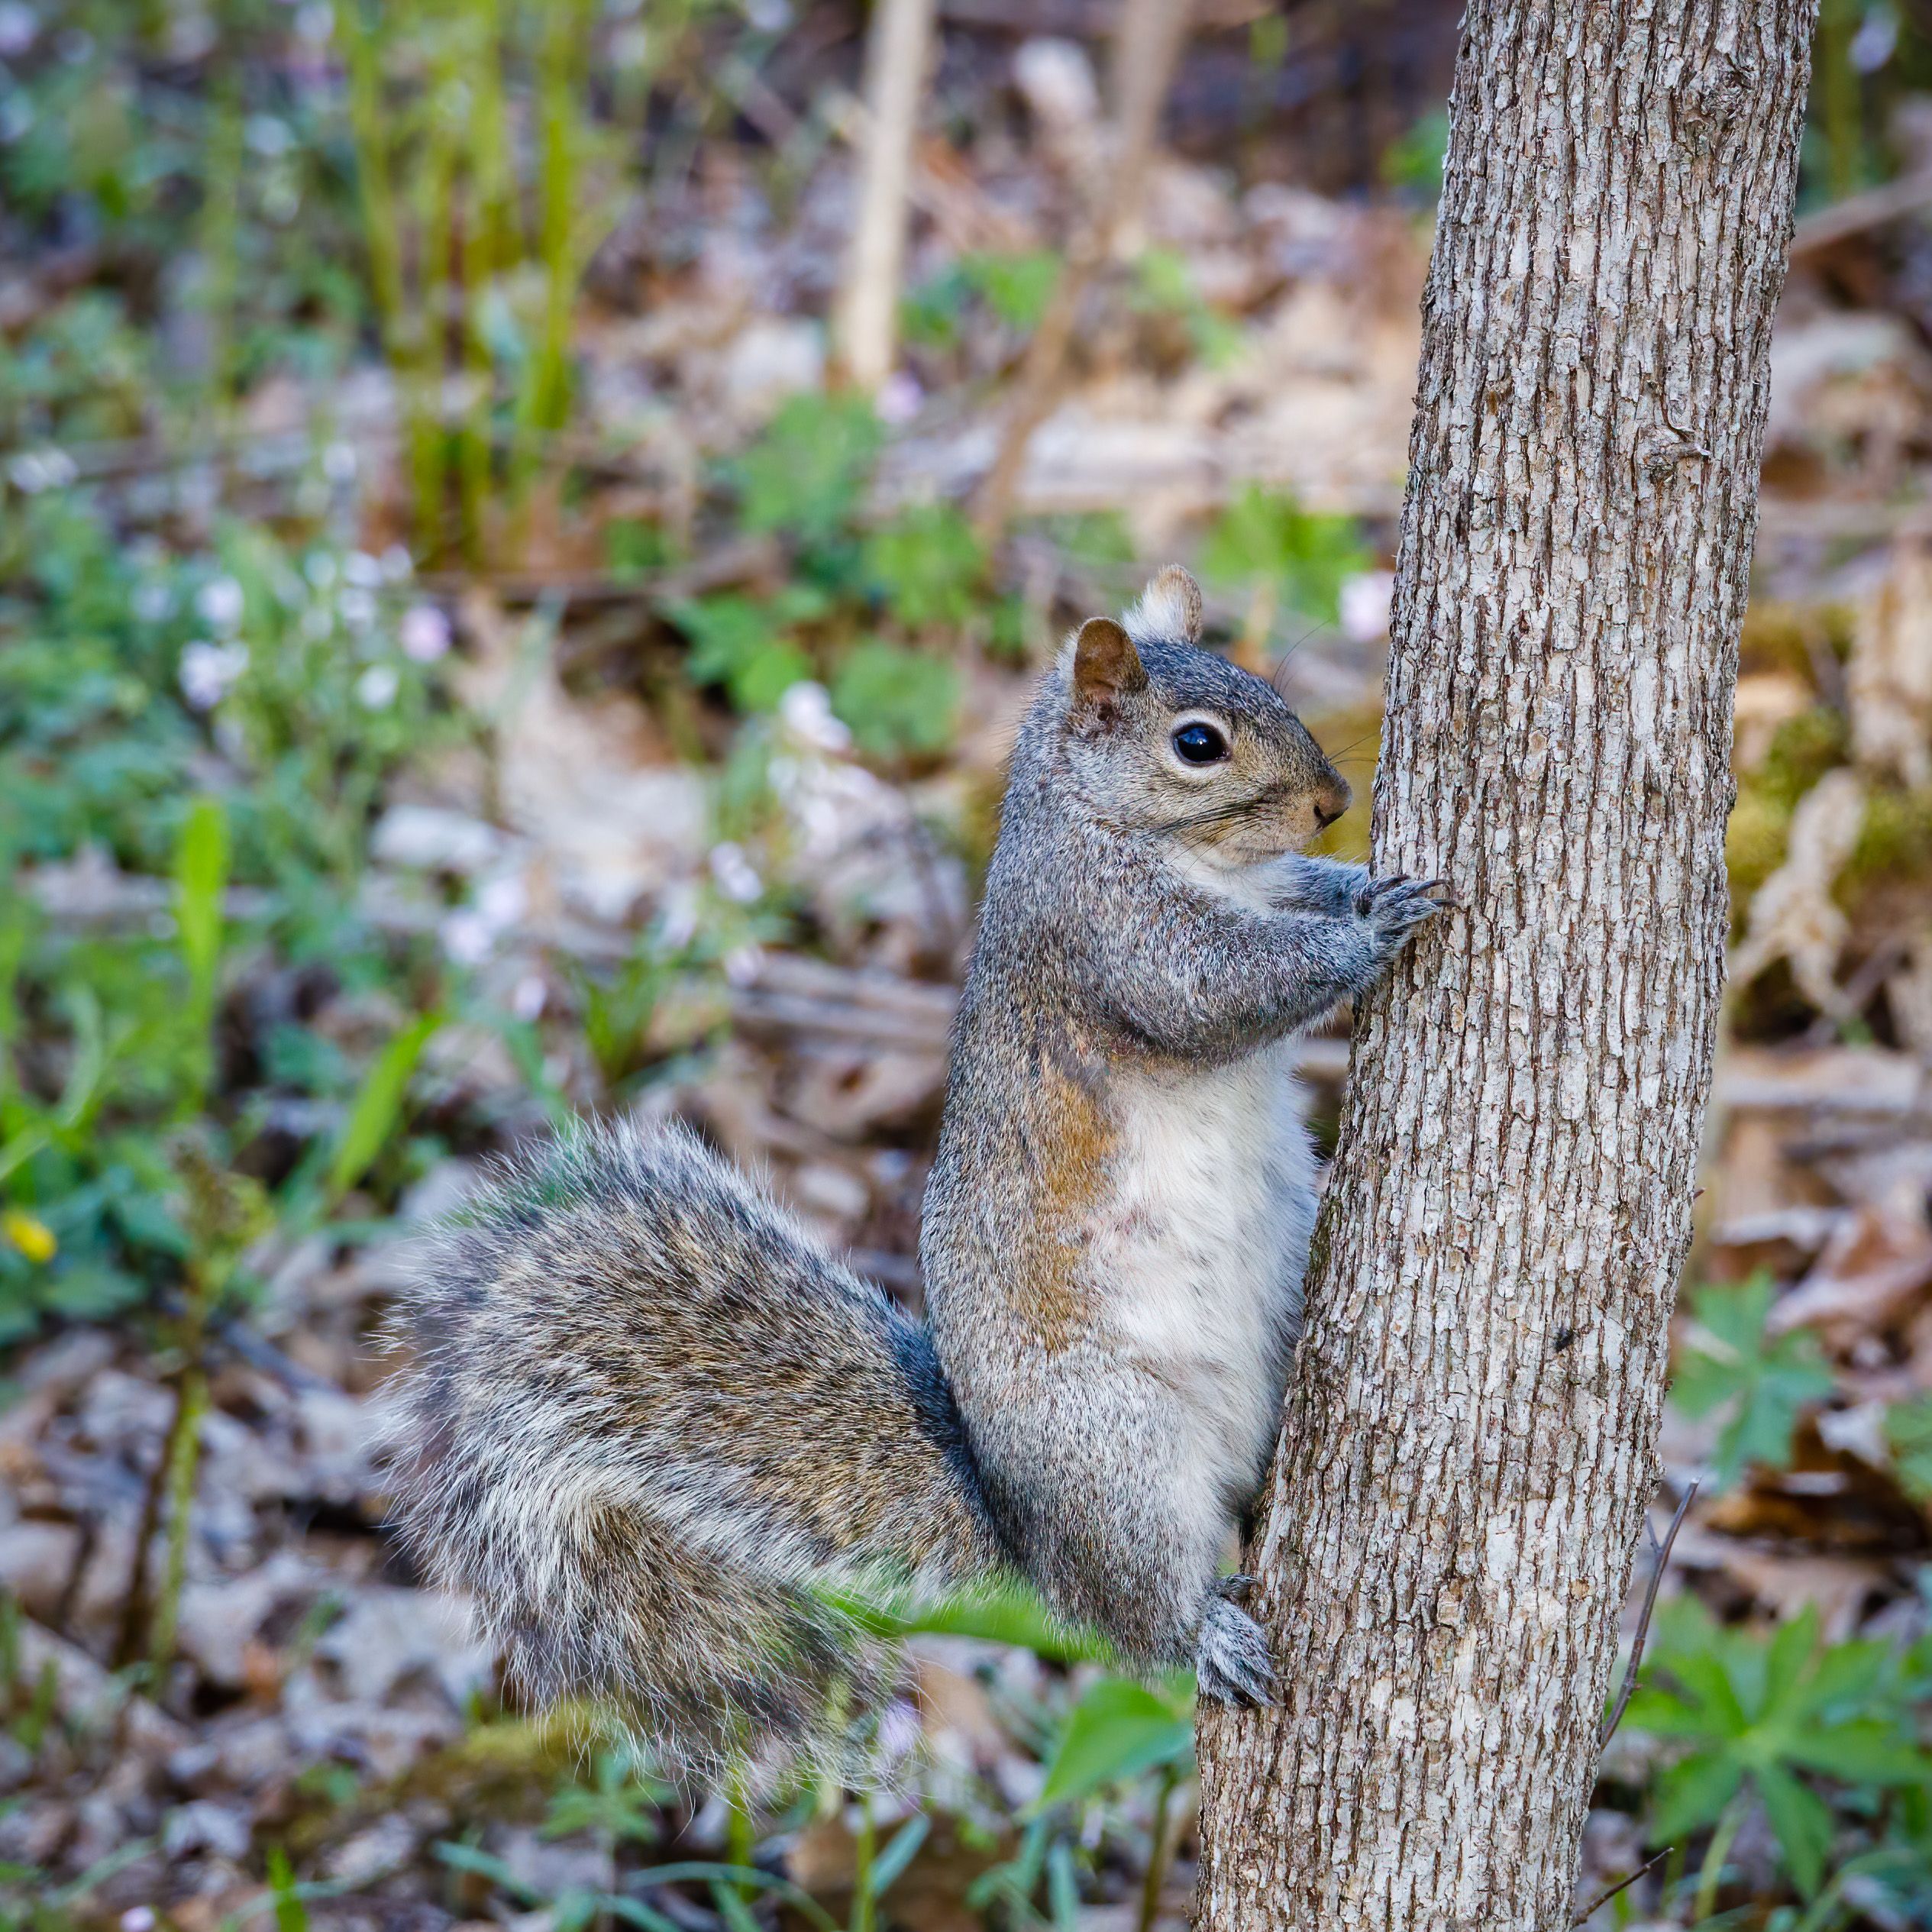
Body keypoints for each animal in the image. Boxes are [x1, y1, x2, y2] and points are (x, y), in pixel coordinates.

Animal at [385, 565, 1448, 1776]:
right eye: (1196, 744)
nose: (1330, 800)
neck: (1124, 832)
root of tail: (1024, 1534)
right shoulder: (1103, 935)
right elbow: (1218, 990)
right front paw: (1374, 927)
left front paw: (1356, 883)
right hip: (1113, 1453)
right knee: (1136, 1618)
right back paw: (1203, 1635)